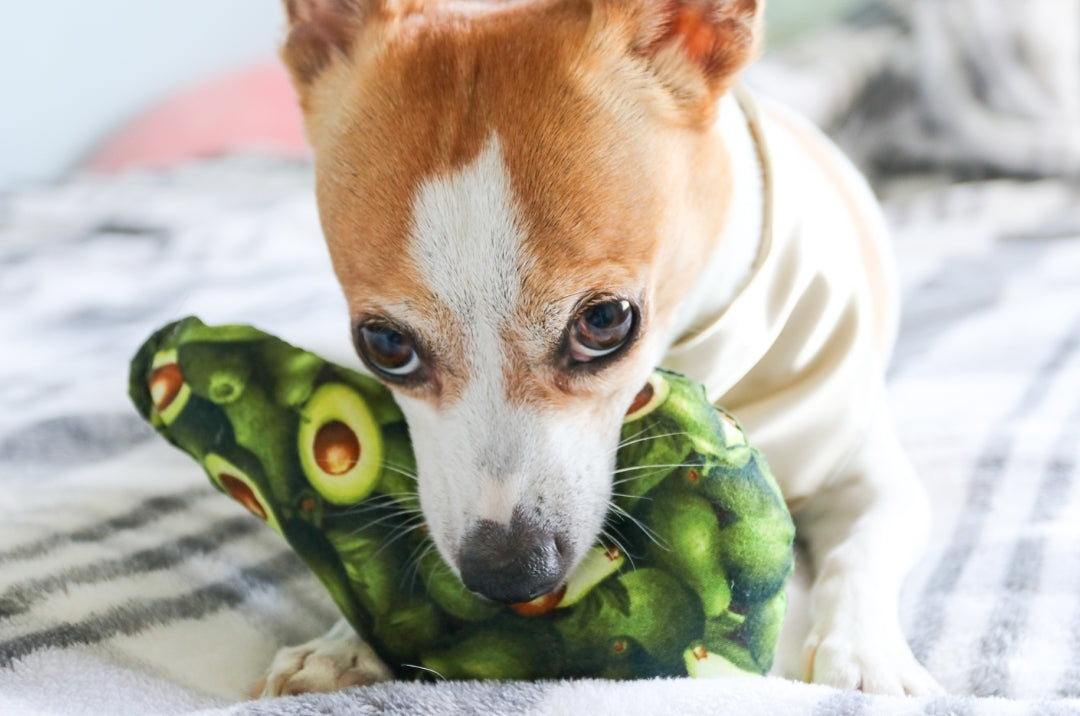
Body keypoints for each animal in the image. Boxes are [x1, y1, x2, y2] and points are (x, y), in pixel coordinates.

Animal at [257, 0, 941, 695]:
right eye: (385, 343)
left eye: (605, 321)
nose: (509, 572)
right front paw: (344, 644)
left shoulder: (871, 477)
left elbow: (859, 552)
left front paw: (865, 658)